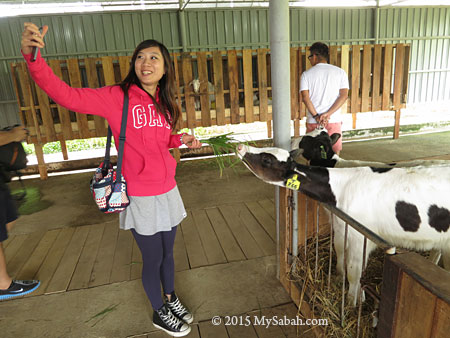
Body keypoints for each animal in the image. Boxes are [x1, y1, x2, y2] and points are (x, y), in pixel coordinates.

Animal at [236, 143, 450, 306]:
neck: (341, 187)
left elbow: (354, 271)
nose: (240, 146)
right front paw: (339, 278)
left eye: (267, 159)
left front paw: (351, 302)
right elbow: (339, 250)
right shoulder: (341, 226)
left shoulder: (361, 237)